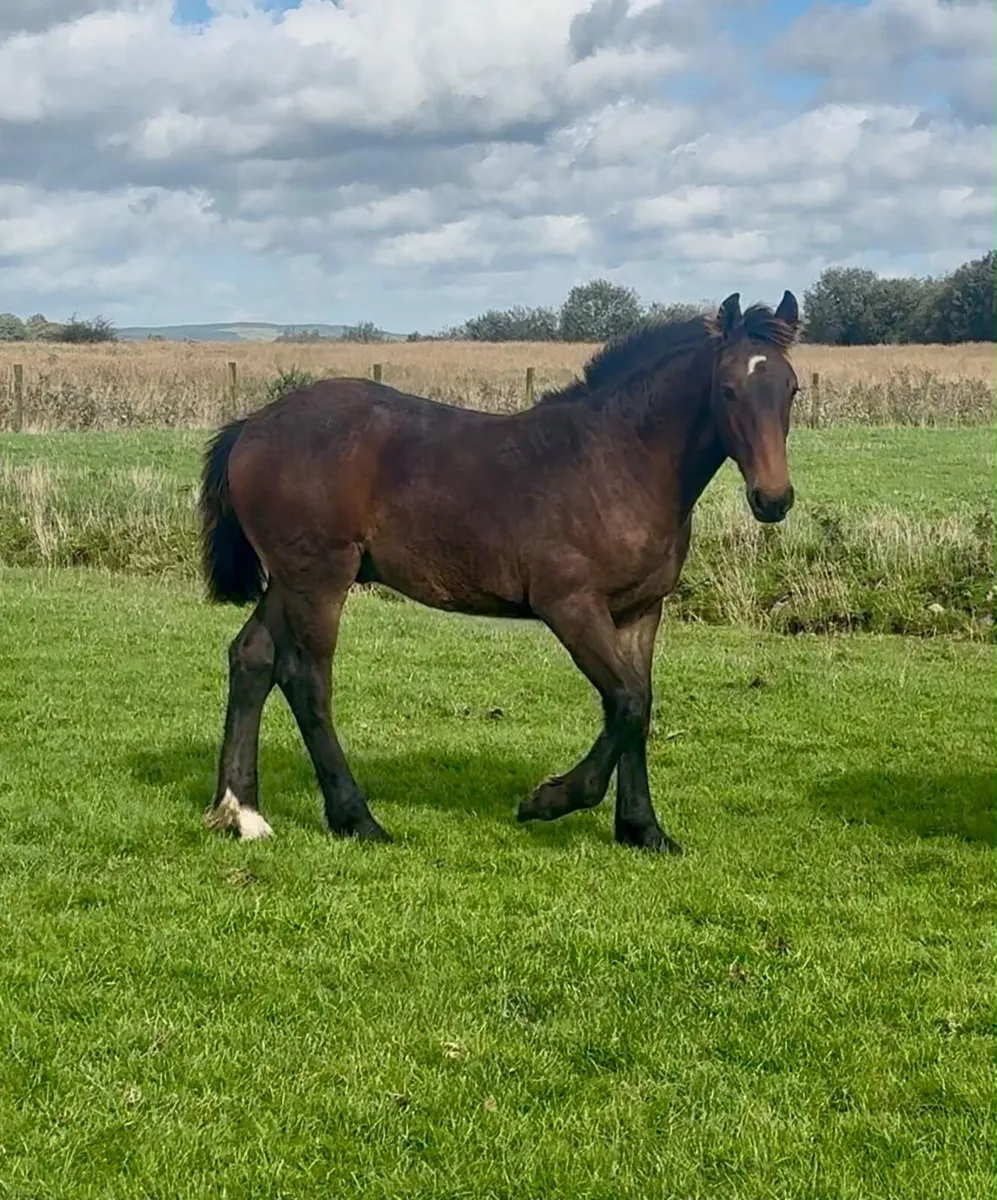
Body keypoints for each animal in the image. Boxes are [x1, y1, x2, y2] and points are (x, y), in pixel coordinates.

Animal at [199, 289, 800, 853]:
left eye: (792, 389)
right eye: (728, 389)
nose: (773, 499)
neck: (618, 463)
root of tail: (250, 426)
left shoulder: (640, 611)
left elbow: (639, 706)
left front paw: (643, 829)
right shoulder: (569, 605)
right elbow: (626, 702)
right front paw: (549, 800)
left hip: (288, 579)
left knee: (252, 657)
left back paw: (241, 812)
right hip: (319, 577)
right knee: (306, 679)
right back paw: (356, 818)